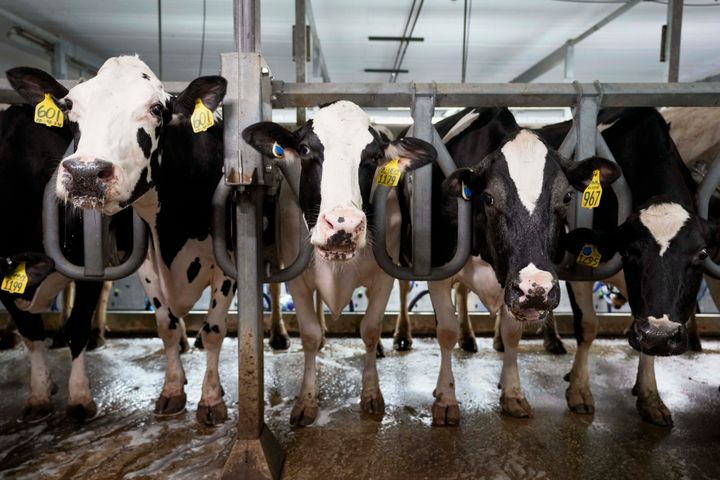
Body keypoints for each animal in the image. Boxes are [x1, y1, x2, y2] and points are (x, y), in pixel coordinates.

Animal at [7, 55, 235, 424]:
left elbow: (214, 330)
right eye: (70, 105)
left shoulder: (227, 262)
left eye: (156, 109)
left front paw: (212, 399)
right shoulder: (145, 262)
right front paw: (172, 390)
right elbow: (166, 326)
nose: (85, 173)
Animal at [242, 100, 436, 424]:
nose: (344, 225)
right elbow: (308, 334)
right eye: (305, 149)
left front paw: (371, 395)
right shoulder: (298, 279)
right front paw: (306, 401)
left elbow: (370, 329)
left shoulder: (383, 278)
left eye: (374, 157)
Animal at [416, 108, 620, 424]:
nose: (537, 289)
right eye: (488, 198)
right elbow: (446, 331)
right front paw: (446, 398)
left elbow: (512, 334)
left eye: (567, 197)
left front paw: (512, 393)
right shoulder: (438, 269)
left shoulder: (513, 290)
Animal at [536, 107, 720, 426]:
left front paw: (649, 396)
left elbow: (646, 337)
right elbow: (587, 325)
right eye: (631, 251)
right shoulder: (579, 265)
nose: (660, 334)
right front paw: (580, 392)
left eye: (701, 254)